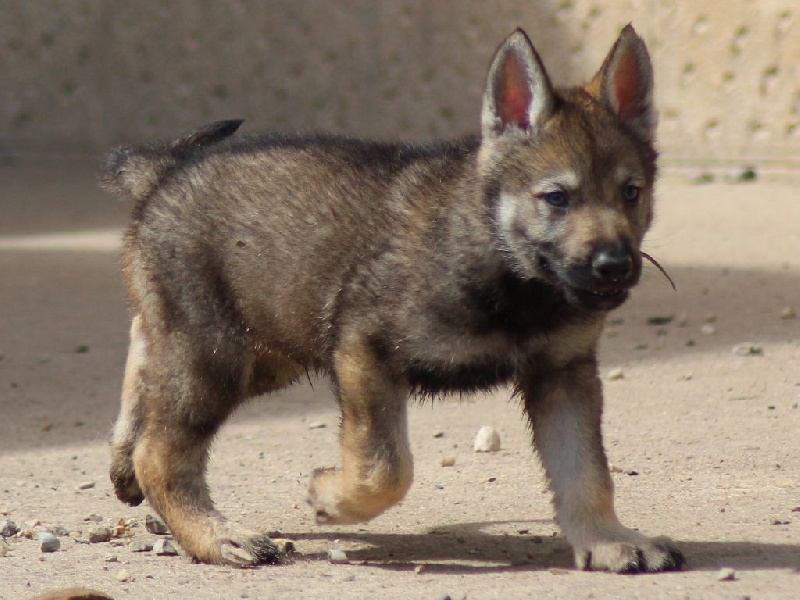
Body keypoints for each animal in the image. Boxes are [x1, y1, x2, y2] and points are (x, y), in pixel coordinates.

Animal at [102, 25, 684, 572]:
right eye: (557, 198)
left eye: (631, 193)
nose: (615, 265)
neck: (507, 267)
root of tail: (164, 173)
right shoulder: (365, 350)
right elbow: (386, 468)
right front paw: (331, 496)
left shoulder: (563, 375)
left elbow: (586, 472)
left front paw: (607, 540)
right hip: (220, 356)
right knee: (162, 451)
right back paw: (216, 536)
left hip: (269, 349)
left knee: (143, 346)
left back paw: (125, 459)